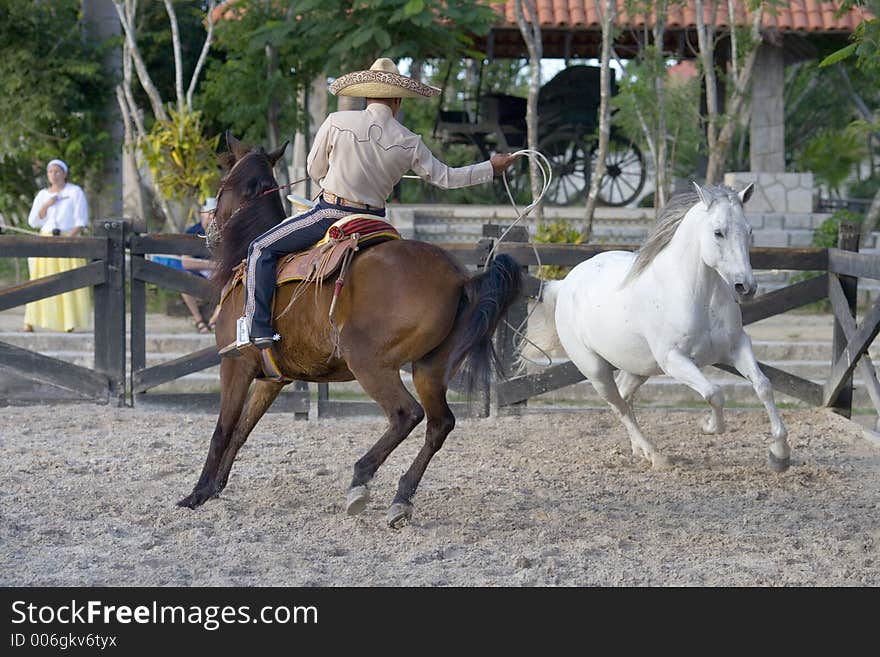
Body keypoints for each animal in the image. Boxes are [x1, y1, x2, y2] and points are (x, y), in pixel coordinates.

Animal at [178, 136, 524, 524]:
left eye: (222, 185)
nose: (209, 232)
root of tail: (460, 278)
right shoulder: (272, 379)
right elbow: (241, 431)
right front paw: (216, 487)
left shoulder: (235, 364)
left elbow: (222, 430)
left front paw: (197, 493)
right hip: (430, 368)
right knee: (440, 424)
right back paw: (401, 498)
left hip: (369, 364)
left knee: (406, 414)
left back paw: (361, 479)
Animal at [524, 183, 792, 472]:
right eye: (718, 232)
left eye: (749, 231)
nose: (746, 287)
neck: (697, 295)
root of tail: (565, 283)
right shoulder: (674, 360)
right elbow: (714, 393)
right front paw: (708, 425)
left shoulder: (737, 346)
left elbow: (763, 385)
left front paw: (780, 455)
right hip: (595, 370)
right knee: (618, 405)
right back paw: (656, 455)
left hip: (639, 367)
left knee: (625, 397)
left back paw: (640, 451)